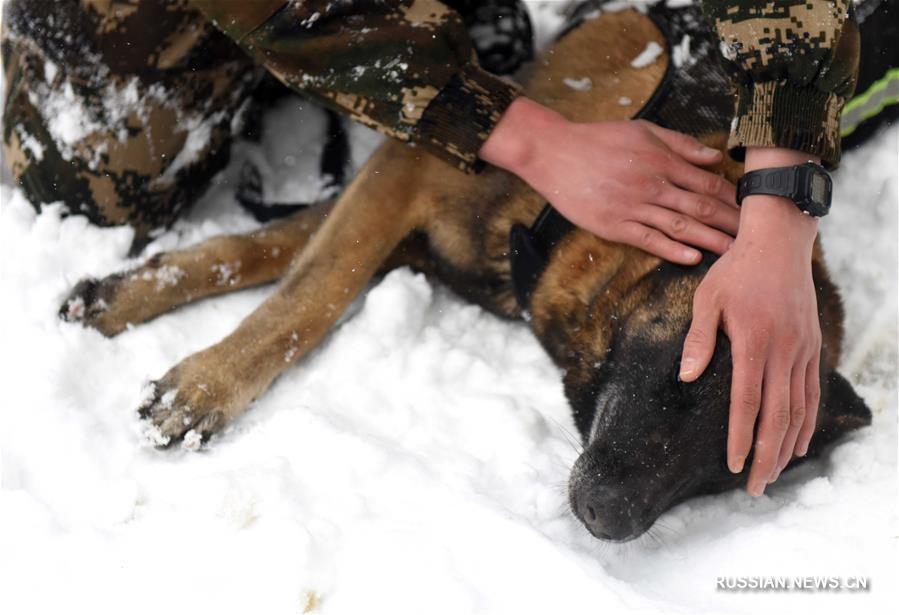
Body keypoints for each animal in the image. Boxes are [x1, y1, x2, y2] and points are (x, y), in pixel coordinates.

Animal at [58, 7, 872, 540]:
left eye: (727, 472)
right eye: (683, 375)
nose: (608, 520)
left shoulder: (409, 228)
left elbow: (277, 250)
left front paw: (130, 295)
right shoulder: (411, 168)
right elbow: (312, 288)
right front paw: (201, 385)